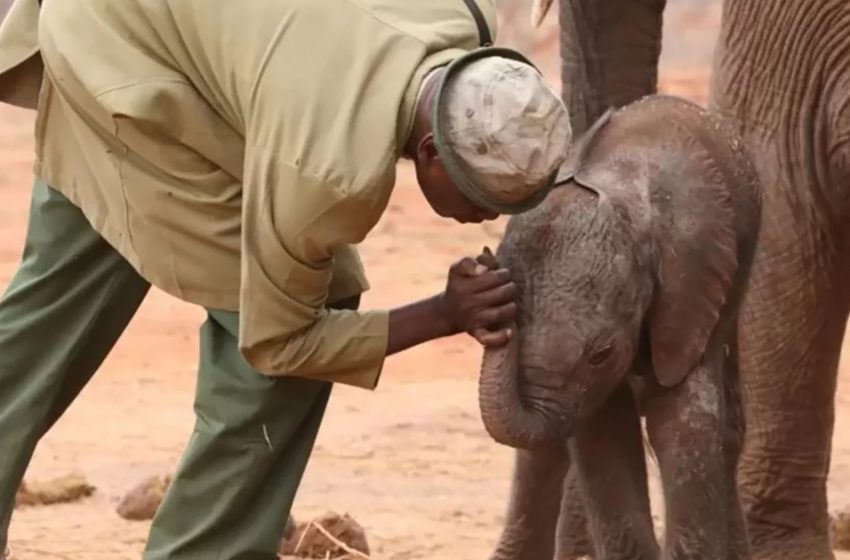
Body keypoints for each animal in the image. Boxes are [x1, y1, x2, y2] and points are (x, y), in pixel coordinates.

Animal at [476, 96, 760, 560]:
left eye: (601, 353)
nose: (484, 263)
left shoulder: (692, 290)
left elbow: (679, 420)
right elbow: (605, 430)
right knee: (546, 450)